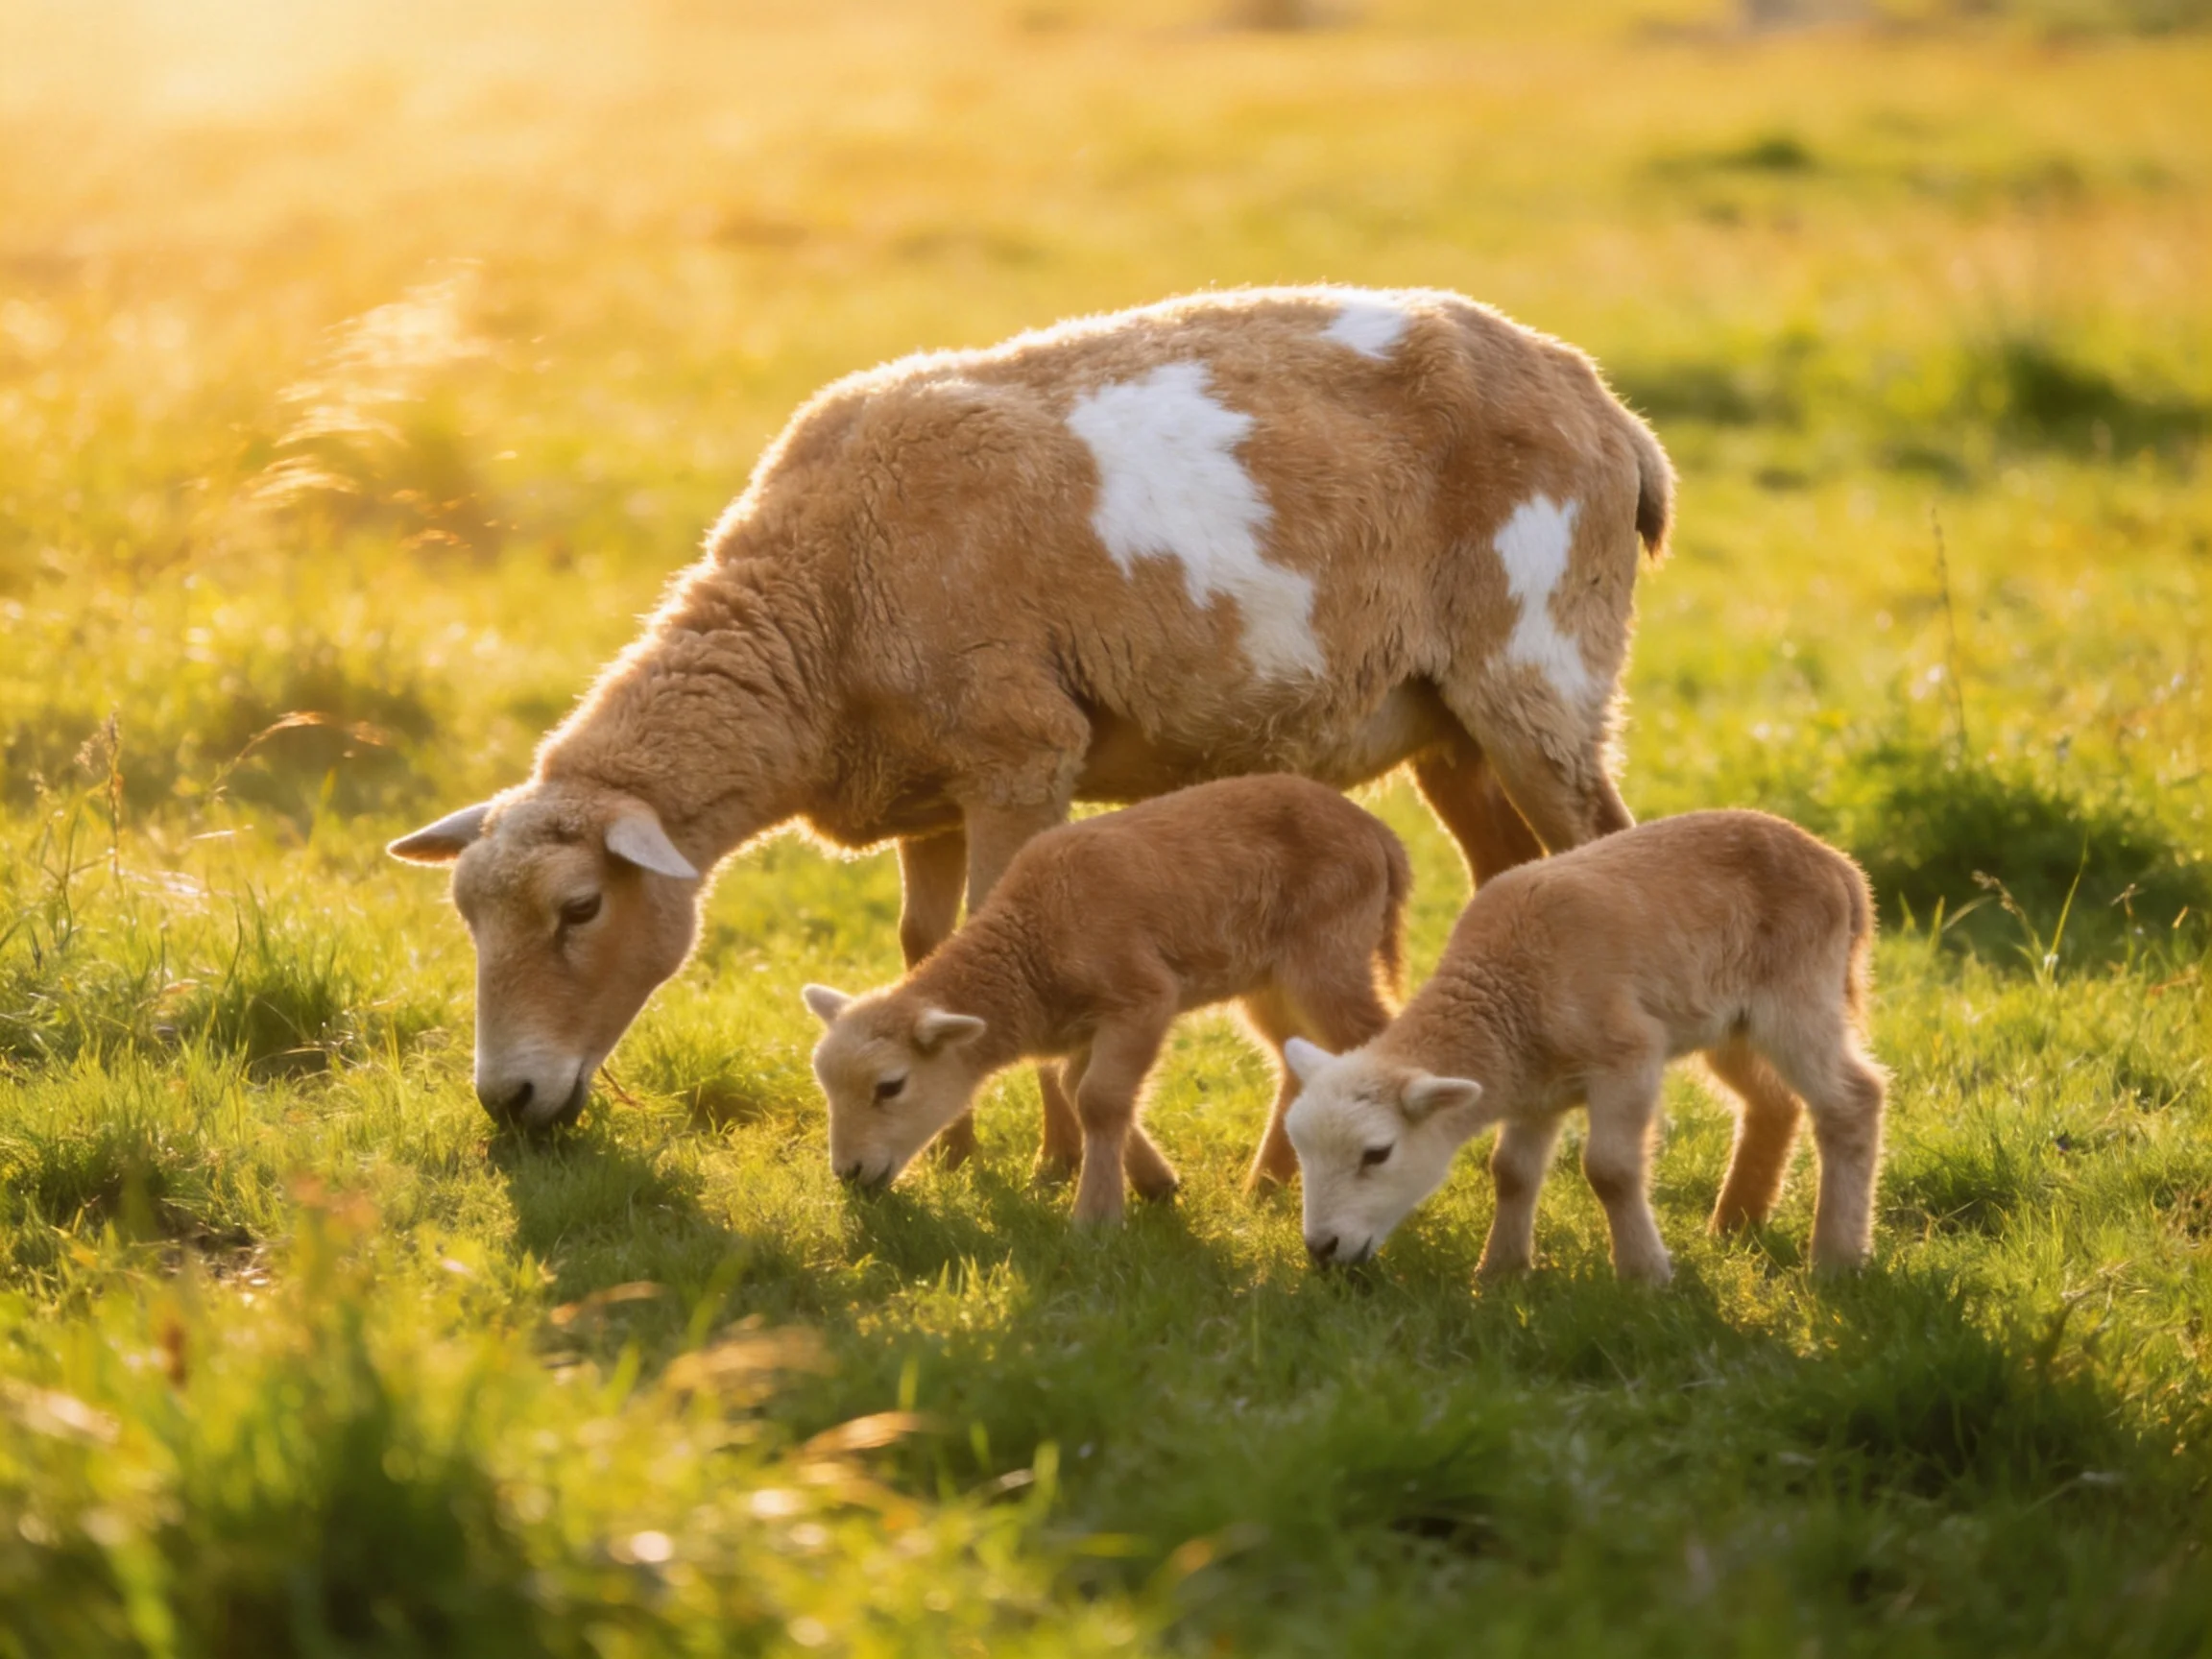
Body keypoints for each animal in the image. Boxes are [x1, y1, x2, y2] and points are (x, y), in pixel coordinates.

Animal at [386, 285, 1673, 1137]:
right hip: (1448, 719)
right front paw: (948, 1144)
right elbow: (926, 950)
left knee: (1603, 847)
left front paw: (1055, 1164)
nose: (508, 1099)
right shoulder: (920, 791)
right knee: (1509, 876)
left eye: (581, 907)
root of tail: (1607, 406)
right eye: (465, 917)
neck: (819, 603)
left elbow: (1007, 939)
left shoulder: (1022, 752)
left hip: (1540, 669)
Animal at [800, 775, 1409, 1224]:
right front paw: (1156, 1182)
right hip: (1268, 979)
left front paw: (1097, 1217)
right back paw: (1262, 1189)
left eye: (890, 1086)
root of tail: (1380, 834)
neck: (1032, 942)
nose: (848, 1174)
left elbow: (1098, 1099)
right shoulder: (1086, 1024)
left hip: (1328, 955)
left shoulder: (1144, 997)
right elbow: (1076, 1088)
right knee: (1293, 1059)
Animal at [1284, 809, 1886, 1281]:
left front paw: (1644, 1276)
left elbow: (1610, 1170)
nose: (1321, 1248)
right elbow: (1511, 1172)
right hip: (1727, 1020)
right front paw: (1498, 1273)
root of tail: (1842, 868)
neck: (1505, 994)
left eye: (1377, 1153)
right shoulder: (1532, 1086)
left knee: (1852, 1100)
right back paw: (1736, 1222)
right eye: (1301, 1151)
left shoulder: (1629, 1054)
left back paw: (1835, 1259)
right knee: (1774, 1102)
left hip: (1798, 993)